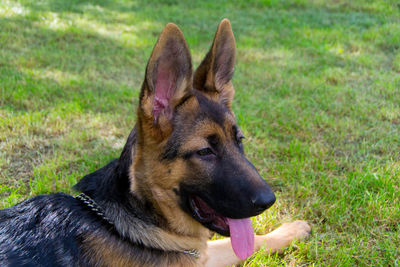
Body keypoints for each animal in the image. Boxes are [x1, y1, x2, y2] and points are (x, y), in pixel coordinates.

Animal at [0, 19, 310, 266]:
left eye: (240, 141)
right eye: (204, 151)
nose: (269, 201)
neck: (120, 225)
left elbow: (245, 242)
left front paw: (292, 230)